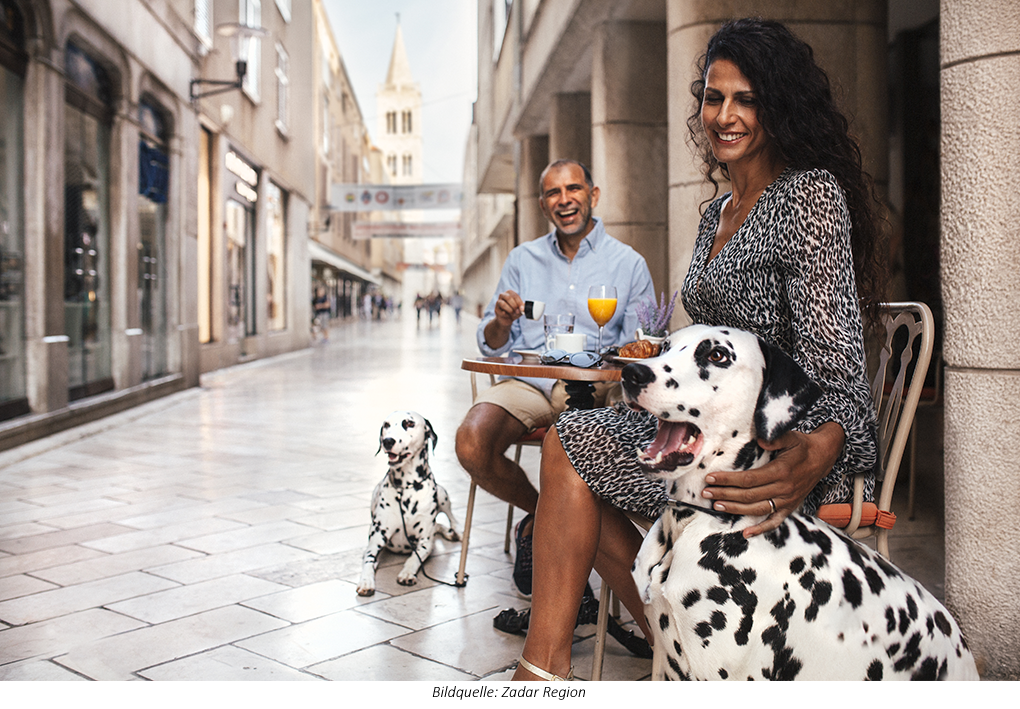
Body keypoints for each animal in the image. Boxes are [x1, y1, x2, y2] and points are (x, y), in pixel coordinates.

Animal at [354, 410, 459, 599]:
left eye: (409, 423)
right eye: (386, 425)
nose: (387, 441)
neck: (406, 487)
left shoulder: (424, 542)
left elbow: (414, 558)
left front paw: (408, 573)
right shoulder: (375, 541)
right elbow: (368, 560)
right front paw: (366, 581)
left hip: (442, 495)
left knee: (450, 518)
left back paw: (455, 532)